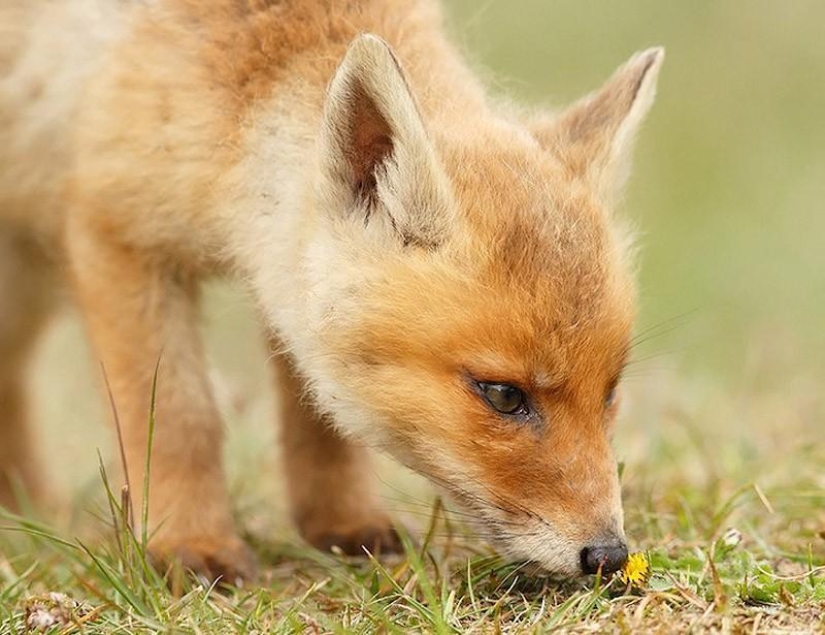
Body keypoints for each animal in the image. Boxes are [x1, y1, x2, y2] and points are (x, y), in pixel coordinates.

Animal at [0, 0, 663, 582]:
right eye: (502, 395)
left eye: (610, 393)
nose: (608, 555)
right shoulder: (114, 230)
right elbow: (179, 420)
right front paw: (190, 543)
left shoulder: (287, 275)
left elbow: (318, 420)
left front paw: (342, 525)